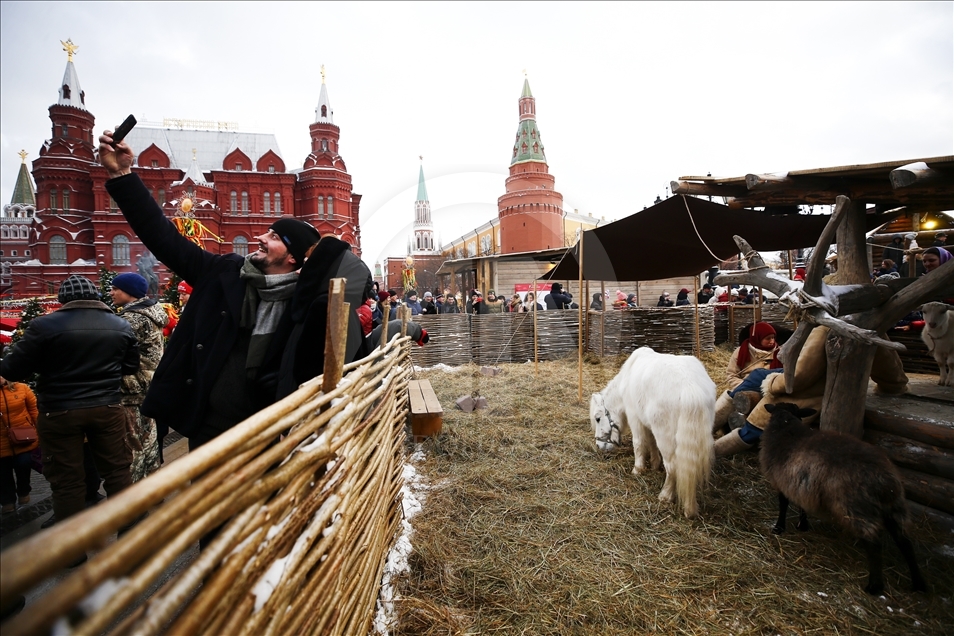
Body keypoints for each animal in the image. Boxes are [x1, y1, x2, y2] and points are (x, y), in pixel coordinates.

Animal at [588, 346, 712, 520]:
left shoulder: (635, 417)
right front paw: (654, 464)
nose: (599, 445)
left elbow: (639, 443)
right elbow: (652, 443)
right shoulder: (648, 424)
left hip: (666, 438)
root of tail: (690, 388)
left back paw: (665, 496)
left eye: (598, 418)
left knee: (672, 467)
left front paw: (638, 469)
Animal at [760, 402, 924, 596]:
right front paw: (803, 525)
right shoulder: (801, 484)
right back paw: (918, 584)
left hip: (856, 508)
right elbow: (801, 506)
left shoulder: (781, 481)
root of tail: (885, 482)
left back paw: (874, 586)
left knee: (874, 543)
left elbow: (783, 505)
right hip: (894, 507)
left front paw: (779, 527)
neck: (785, 425)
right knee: (905, 542)